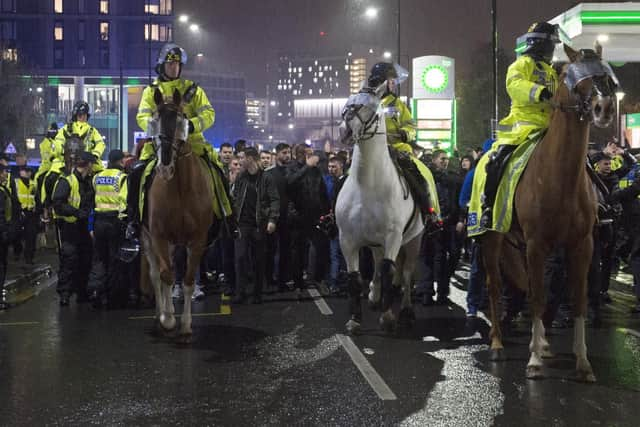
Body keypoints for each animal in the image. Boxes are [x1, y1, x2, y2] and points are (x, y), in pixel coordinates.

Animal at [141, 88, 215, 344]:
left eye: (183, 119)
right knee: (157, 275)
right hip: (148, 239)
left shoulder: (198, 240)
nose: (164, 167)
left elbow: (189, 281)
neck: (181, 188)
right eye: (154, 120)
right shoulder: (159, 236)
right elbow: (165, 276)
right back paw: (160, 315)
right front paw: (168, 319)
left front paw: (185, 326)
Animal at [336, 83, 424, 334]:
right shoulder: (347, 239)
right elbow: (355, 278)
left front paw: (387, 317)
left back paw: (405, 311)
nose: (345, 130)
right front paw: (355, 319)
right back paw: (375, 297)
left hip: (414, 239)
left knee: (406, 273)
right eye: (347, 104)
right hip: (376, 242)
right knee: (376, 265)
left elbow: (388, 270)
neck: (367, 184)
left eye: (369, 108)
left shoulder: (393, 236)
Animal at [482, 45, 616, 382]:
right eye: (575, 77)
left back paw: (541, 344)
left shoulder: (582, 245)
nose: (604, 108)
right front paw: (533, 362)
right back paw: (498, 343)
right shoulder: (537, 244)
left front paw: (582, 361)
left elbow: (576, 298)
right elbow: (539, 297)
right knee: (495, 285)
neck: (559, 178)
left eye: (607, 75)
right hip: (493, 239)